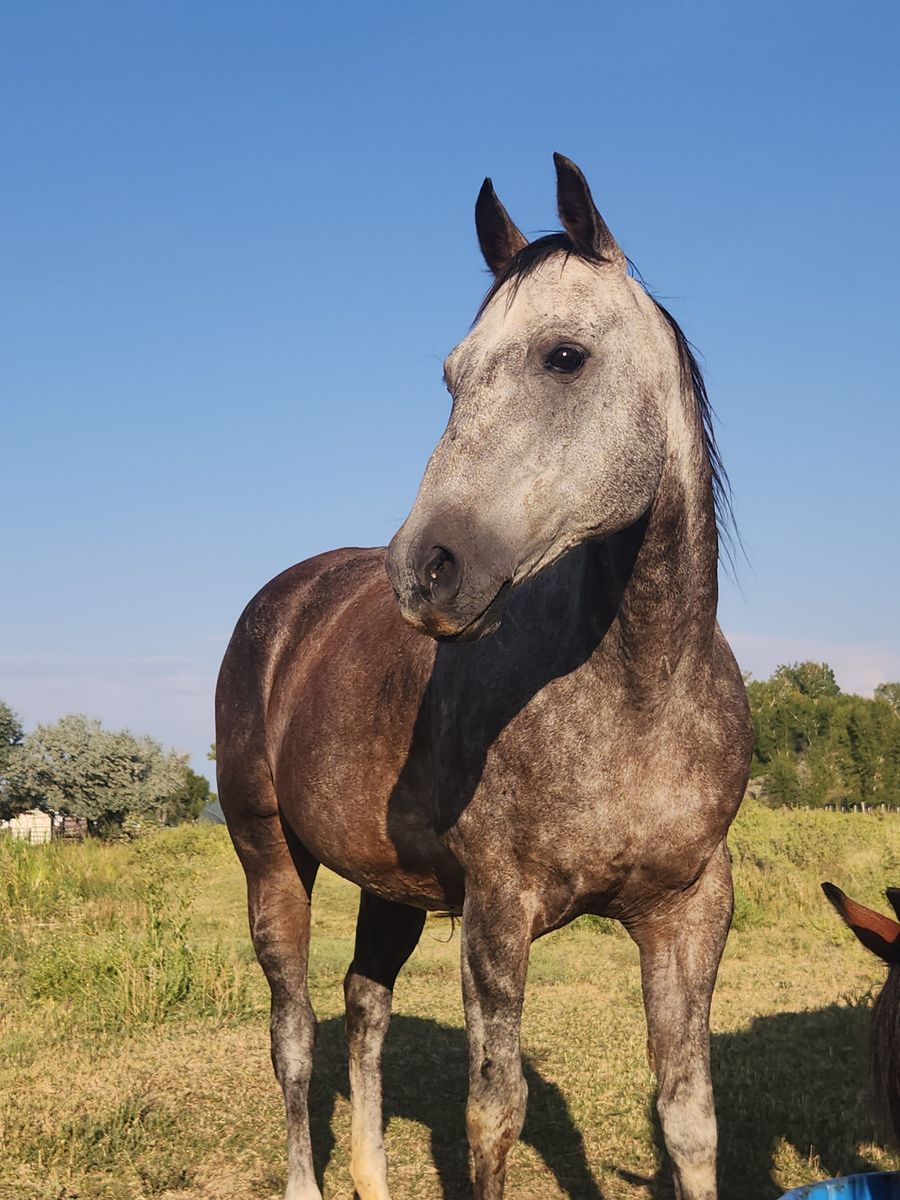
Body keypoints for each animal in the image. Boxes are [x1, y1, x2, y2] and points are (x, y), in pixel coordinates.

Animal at [215, 153, 752, 1200]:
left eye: (564, 357)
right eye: (451, 375)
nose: (423, 568)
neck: (639, 693)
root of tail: (285, 602)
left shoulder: (690, 911)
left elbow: (690, 1117)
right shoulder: (497, 913)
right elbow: (494, 1114)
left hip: (389, 883)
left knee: (365, 1005)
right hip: (270, 859)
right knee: (294, 1033)